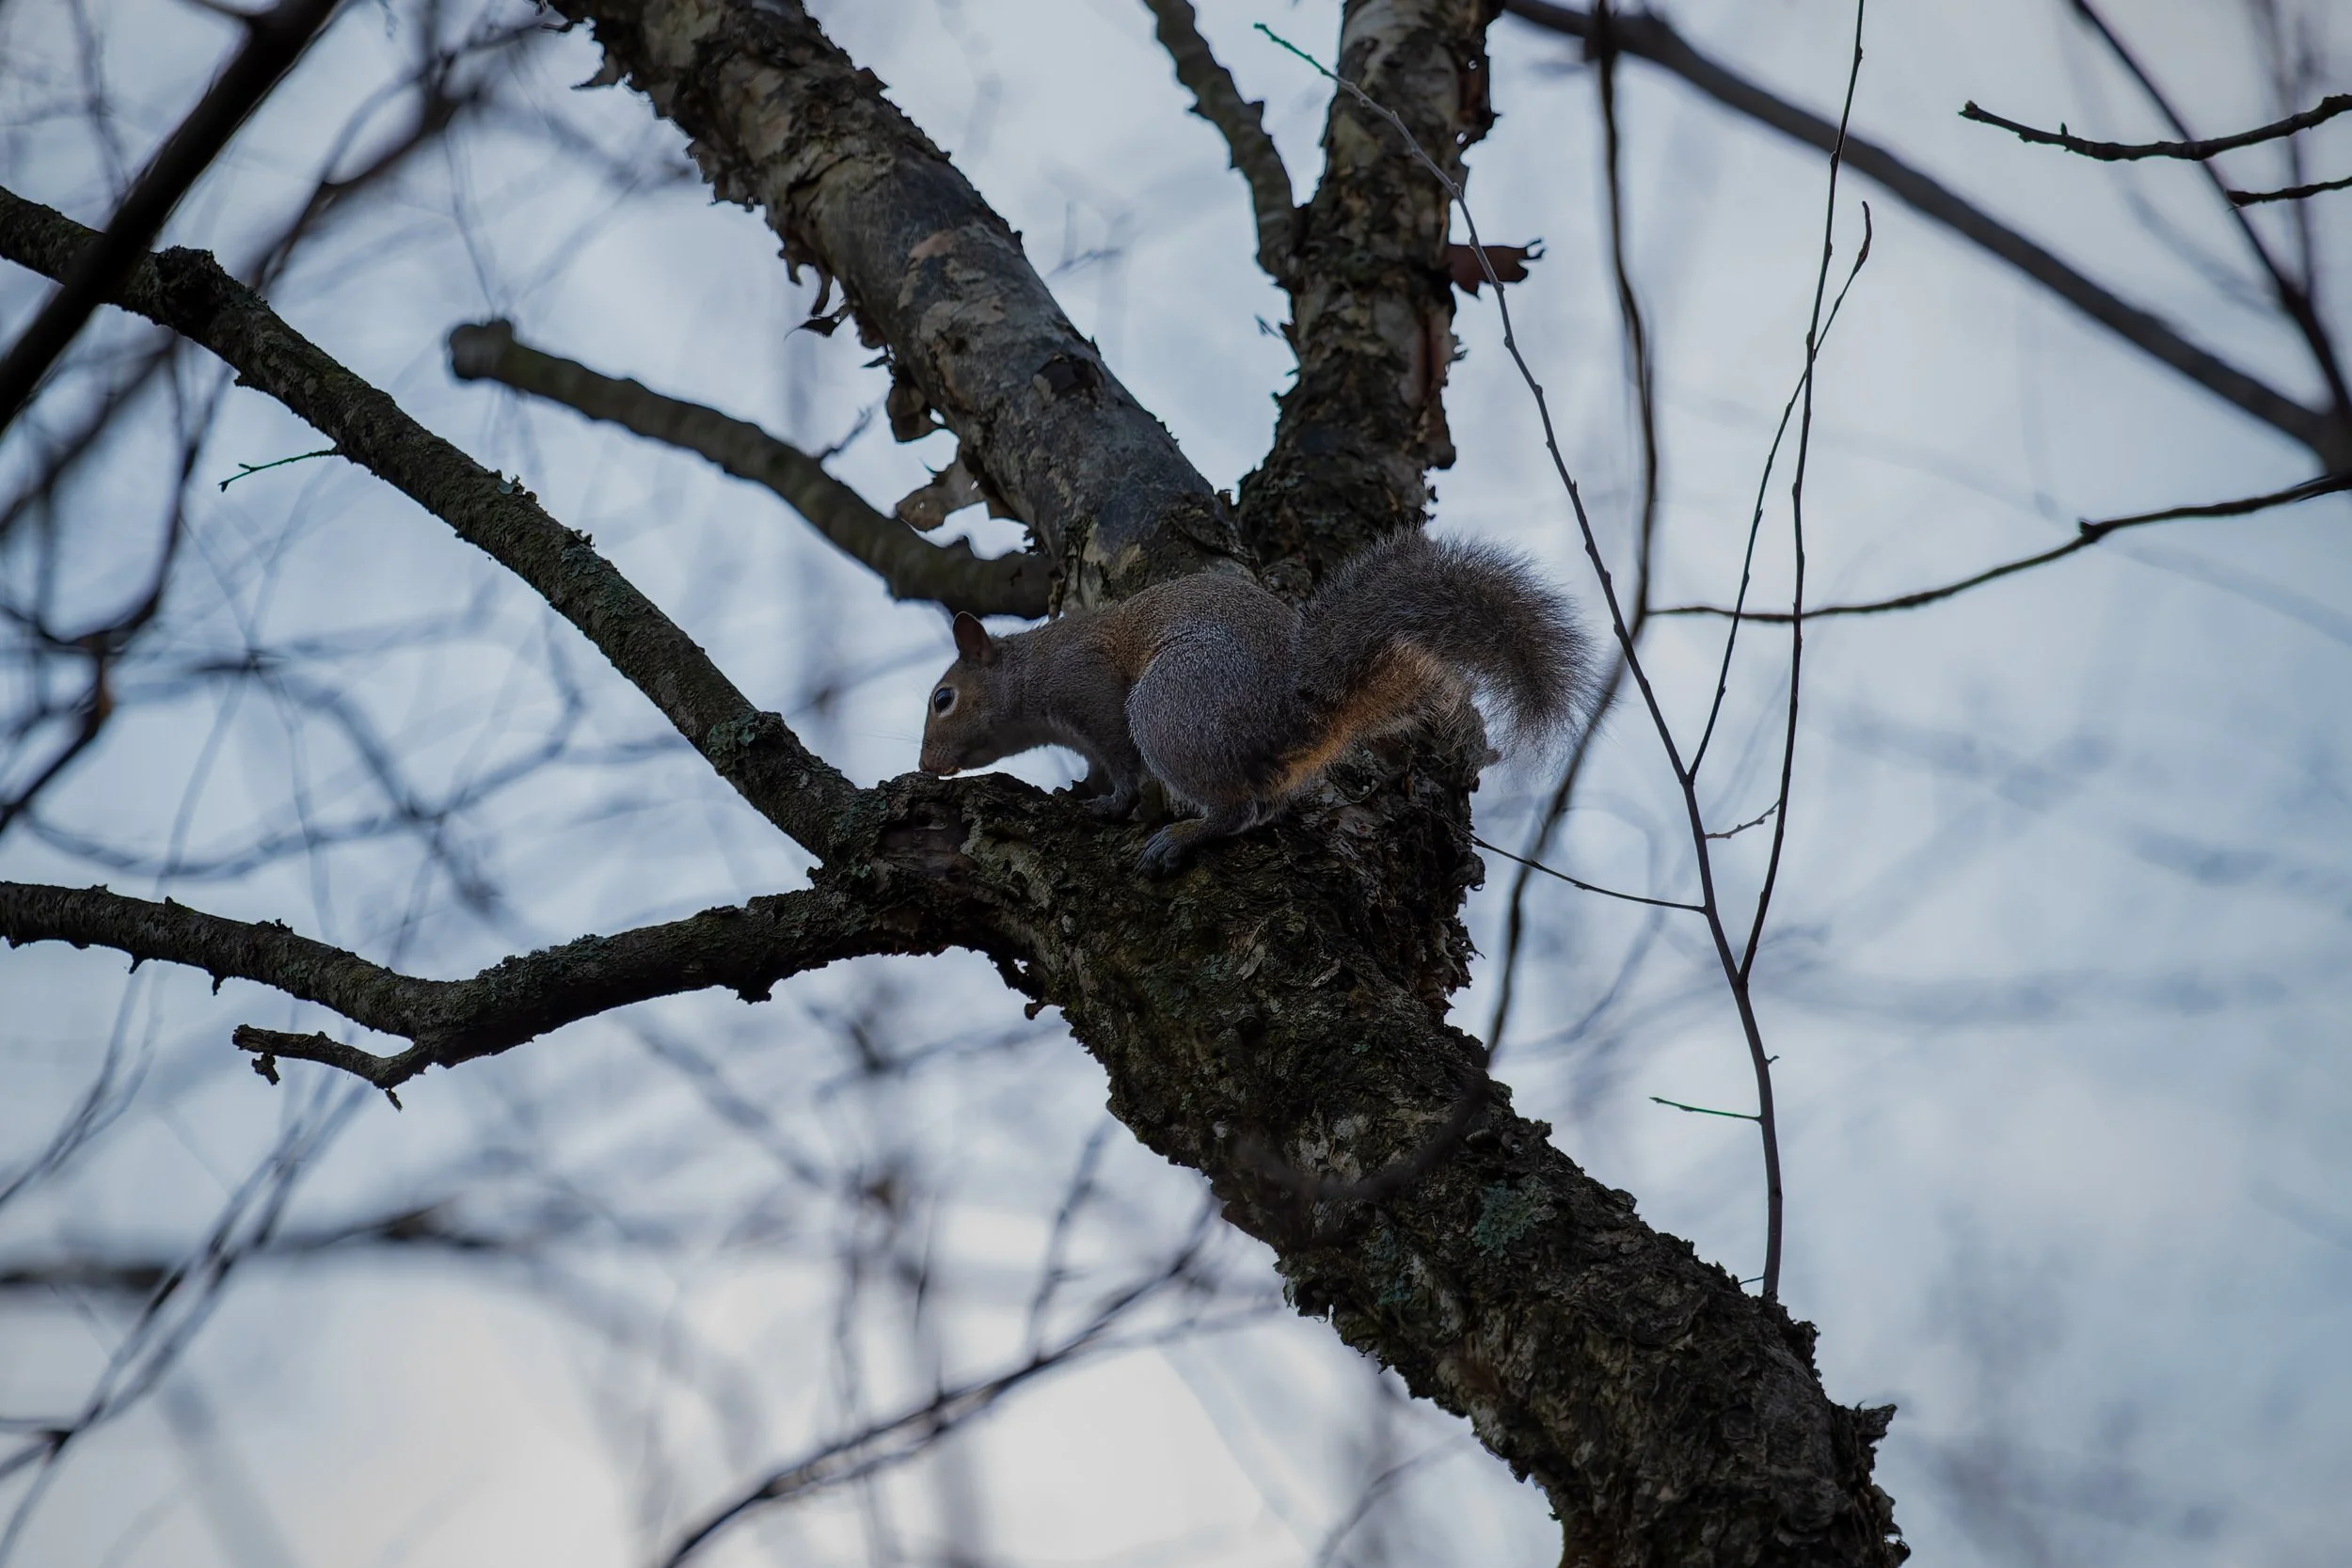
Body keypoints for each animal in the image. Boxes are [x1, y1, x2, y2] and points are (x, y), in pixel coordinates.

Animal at [918, 529, 1594, 873]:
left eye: (943, 698)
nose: (926, 766)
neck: (1033, 668)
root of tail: (1291, 711)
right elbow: (1096, 765)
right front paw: (1084, 787)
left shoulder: (1092, 692)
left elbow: (1123, 765)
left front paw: (1110, 804)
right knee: (1261, 807)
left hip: (1169, 707)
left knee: (1235, 809)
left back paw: (1183, 835)